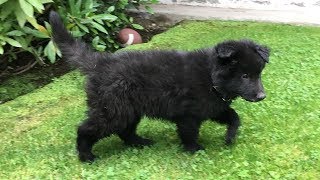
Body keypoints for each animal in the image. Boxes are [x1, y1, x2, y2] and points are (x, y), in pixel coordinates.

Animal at [50, 11, 270, 162]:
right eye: (244, 75)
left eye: (258, 74)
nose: (262, 96)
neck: (210, 77)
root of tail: (101, 64)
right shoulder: (188, 115)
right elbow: (190, 133)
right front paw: (194, 149)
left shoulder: (213, 107)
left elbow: (234, 117)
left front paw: (230, 137)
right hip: (112, 111)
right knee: (85, 129)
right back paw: (86, 155)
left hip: (128, 110)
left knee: (125, 131)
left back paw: (140, 143)